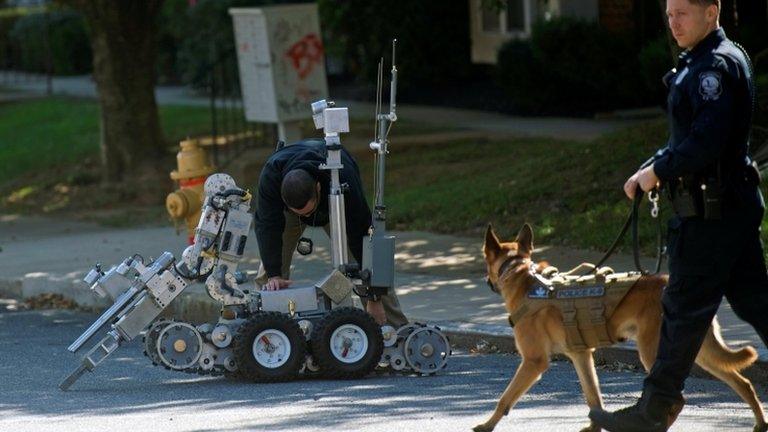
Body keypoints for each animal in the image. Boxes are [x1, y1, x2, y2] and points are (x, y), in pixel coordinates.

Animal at [476, 224, 764, 432]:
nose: (486, 280)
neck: (521, 275)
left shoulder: (534, 361)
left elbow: (505, 398)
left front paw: (487, 425)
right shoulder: (581, 357)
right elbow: (593, 397)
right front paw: (595, 425)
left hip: (653, 352)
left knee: (678, 398)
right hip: (698, 351)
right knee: (743, 382)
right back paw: (761, 422)